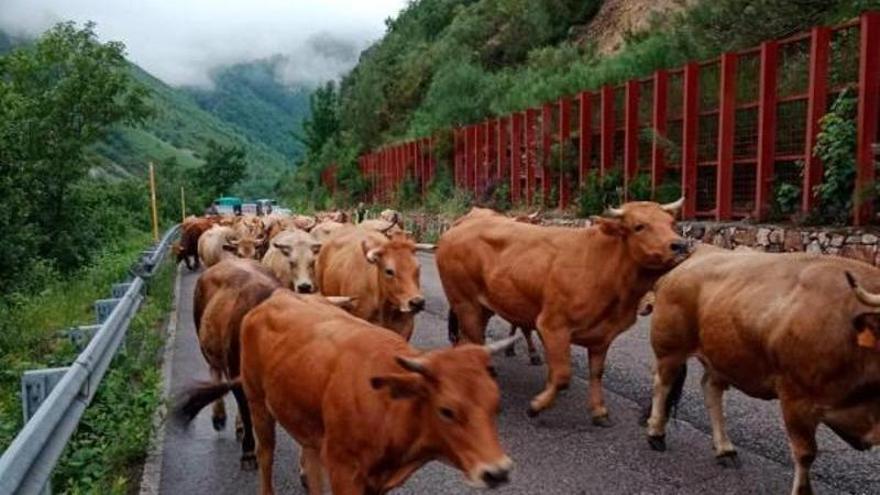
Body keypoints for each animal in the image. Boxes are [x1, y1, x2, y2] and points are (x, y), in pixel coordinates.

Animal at [182, 290, 520, 495]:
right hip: (257, 402)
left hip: (307, 425)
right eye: (447, 410)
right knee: (266, 455)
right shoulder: (344, 472)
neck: (388, 406)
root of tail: (277, 295)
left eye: (495, 405)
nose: (498, 472)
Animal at [644, 248, 880, 495]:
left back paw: (725, 449)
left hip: (720, 354)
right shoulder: (796, 400)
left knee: (711, 390)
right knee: (662, 384)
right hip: (670, 349)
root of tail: (700, 252)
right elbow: (805, 453)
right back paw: (656, 433)